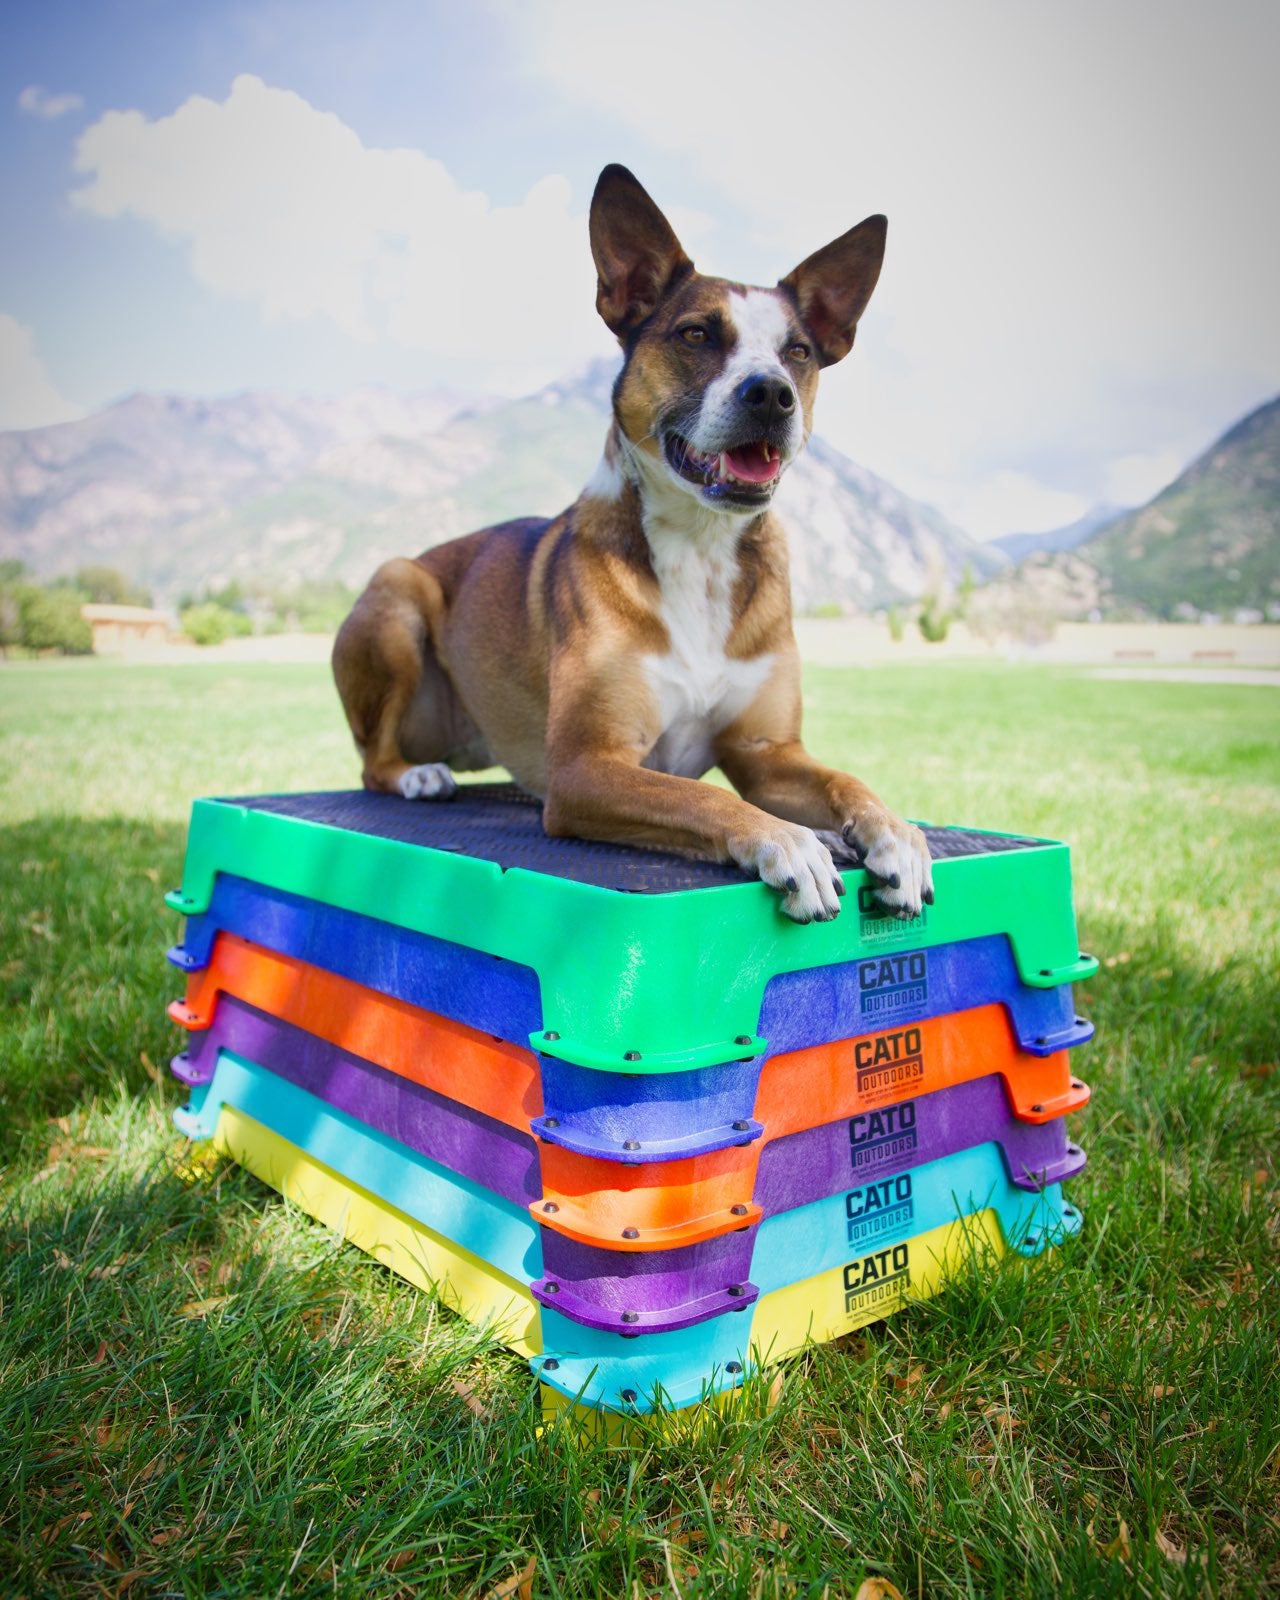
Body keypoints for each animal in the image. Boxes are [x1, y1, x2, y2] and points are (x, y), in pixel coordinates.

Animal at [329, 164, 928, 928]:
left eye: (798, 352)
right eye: (696, 334)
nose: (771, 393)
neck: (701, 545)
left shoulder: (768, 752)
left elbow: (845, 780)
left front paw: (895, 832)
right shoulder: (588, 766)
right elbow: (705, 793)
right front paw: (788, 842)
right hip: (398, 591)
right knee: (372, 761)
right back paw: (416, 777)